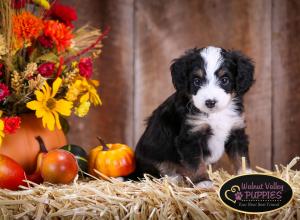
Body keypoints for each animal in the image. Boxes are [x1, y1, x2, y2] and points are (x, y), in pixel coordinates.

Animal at [134, 45, 253, 186]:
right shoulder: (190, 137)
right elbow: (196, 163)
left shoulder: (236, 131)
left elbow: (241, 158)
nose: (210, 102)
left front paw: (247, 174)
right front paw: (202, 182)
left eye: (225, 80)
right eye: (196, 81)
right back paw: (175, 178)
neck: (215, 114)